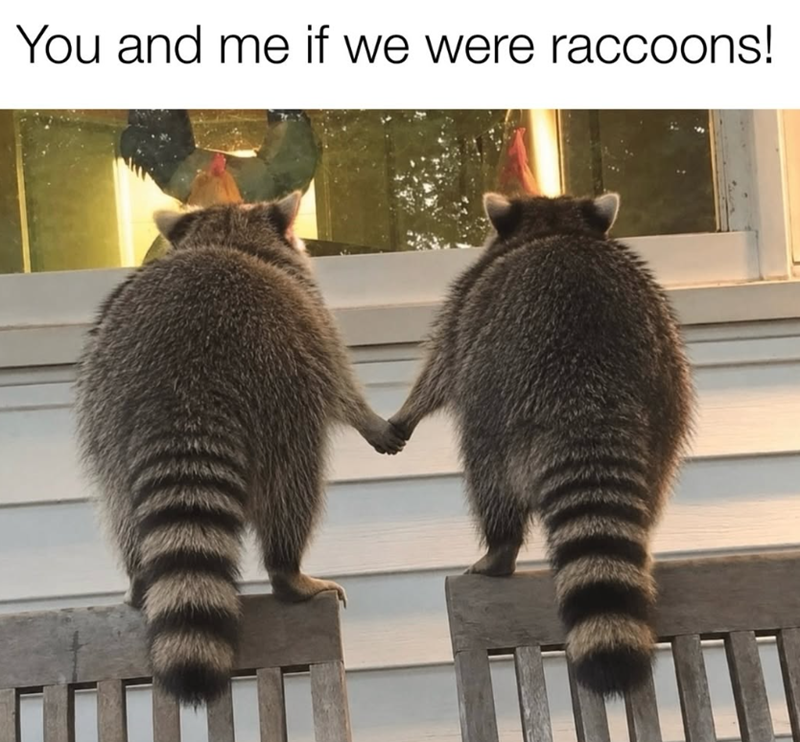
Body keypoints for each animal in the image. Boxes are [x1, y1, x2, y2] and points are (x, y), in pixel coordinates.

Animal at [74, 193, 405, 707]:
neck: (225, 235)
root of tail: (187, 385)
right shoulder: (316, 325)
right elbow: (341, 384)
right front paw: (368, 418)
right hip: (282, 404)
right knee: (295, 491)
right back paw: (287, 570)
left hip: (105, 414)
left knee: (120, 508)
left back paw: (137, 577)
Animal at [390, 192, 694, 697]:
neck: (556, 224)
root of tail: (588, 393)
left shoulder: (465, 302)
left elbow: (439, 368)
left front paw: (409, 408)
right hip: (668, 401)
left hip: (494, 406)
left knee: (486, 475)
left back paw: (500, 545)